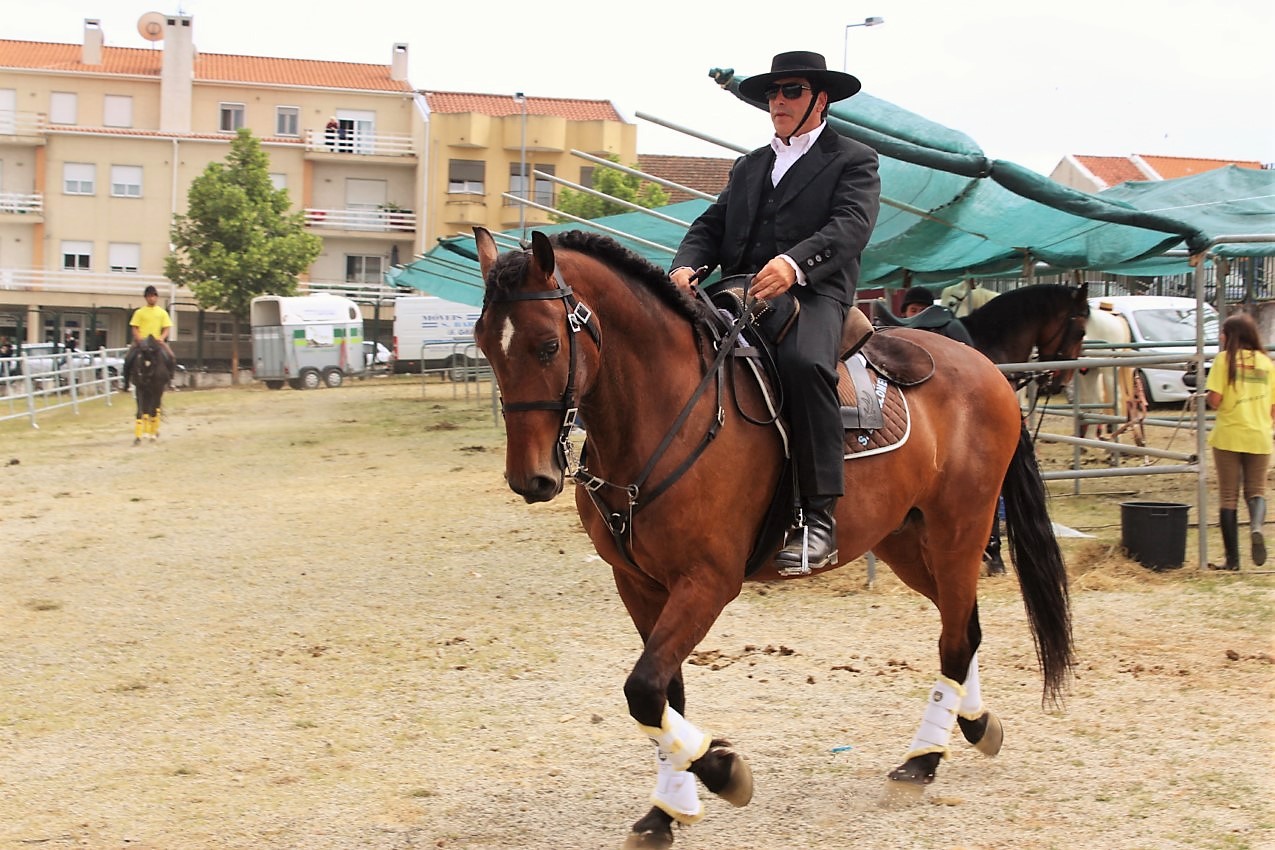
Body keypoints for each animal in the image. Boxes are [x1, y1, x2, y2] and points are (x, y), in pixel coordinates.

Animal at [474, 228, 1071, 850]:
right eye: (485, 347)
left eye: (547, 346)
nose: (531, 479)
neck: (667, 412)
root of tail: (987, 370)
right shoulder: (637, 584)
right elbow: (664, 695)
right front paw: (668, 810)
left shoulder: (708, 582)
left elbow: (643, 689)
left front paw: (721, 770)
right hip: (906, 542)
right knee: (964, 626)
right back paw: (975, 725)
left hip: (960, 528)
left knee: (956, 639)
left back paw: (921, 761)